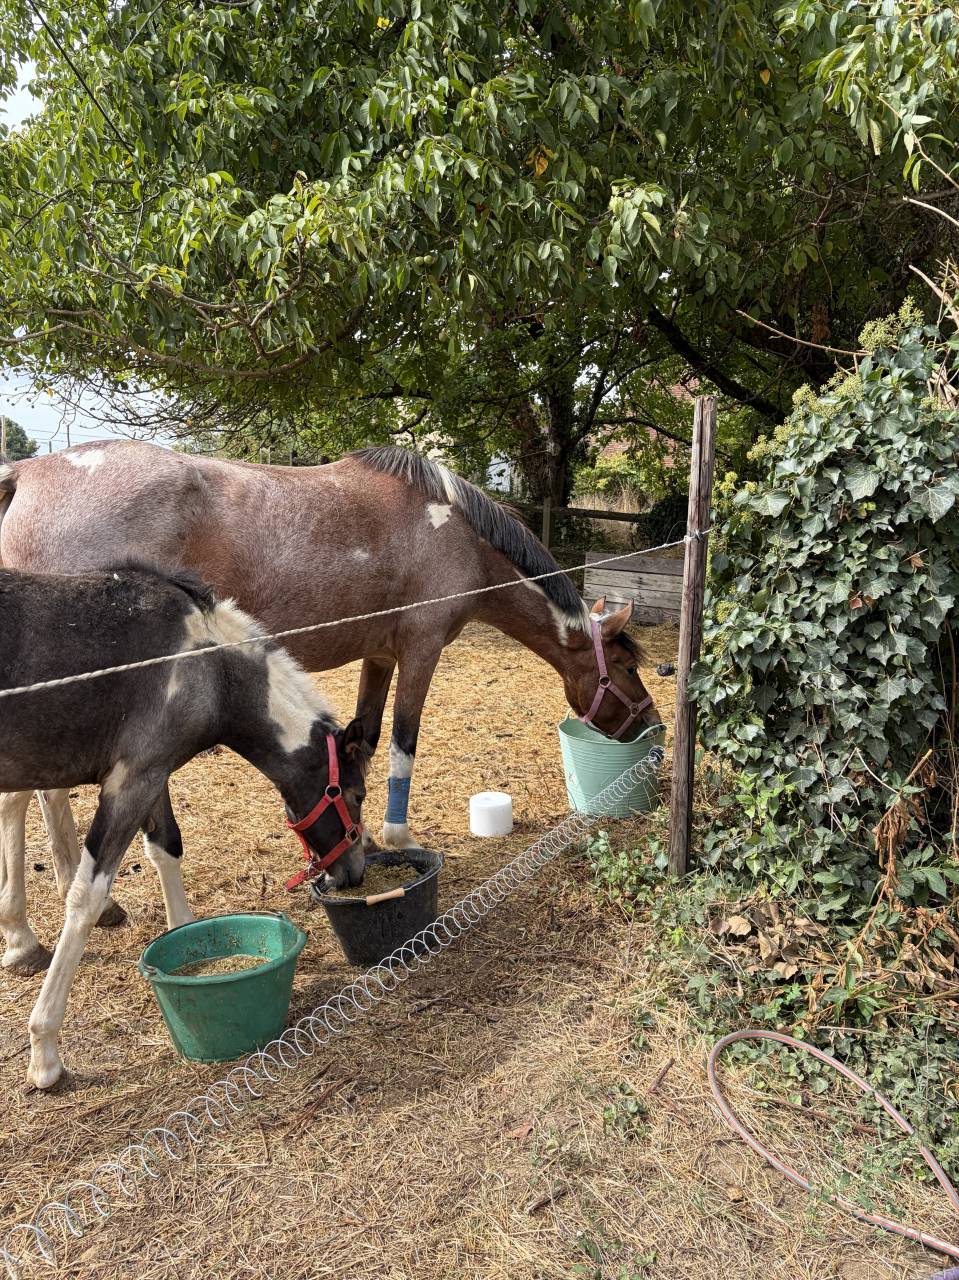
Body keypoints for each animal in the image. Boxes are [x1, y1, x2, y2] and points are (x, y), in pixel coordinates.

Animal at [0, 442, 660, 925]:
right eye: (628, 667)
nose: (652, 725)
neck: (455, 534)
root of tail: (29, 472)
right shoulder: (420, 651)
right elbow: (403, 744)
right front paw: (396, 832)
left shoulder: (380, 656)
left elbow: (365, 739)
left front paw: (366, 836)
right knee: (34, 798)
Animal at [0, 562, 369, 1088]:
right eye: (355, 795)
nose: (354, 871)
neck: (208, 665)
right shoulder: (132, 780)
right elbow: (85, 896)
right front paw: (44, 1049)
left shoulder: (152, 774)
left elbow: (165, 847)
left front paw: (184, 936)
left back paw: (19, 939)